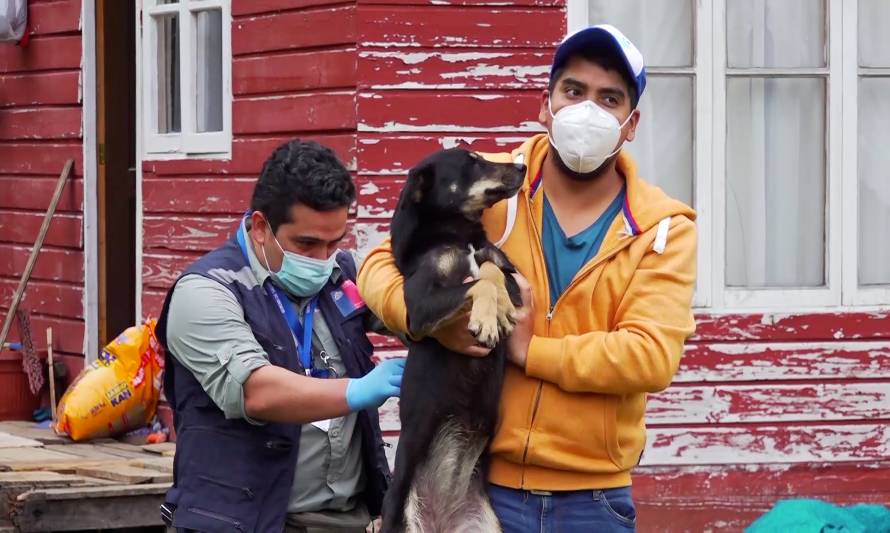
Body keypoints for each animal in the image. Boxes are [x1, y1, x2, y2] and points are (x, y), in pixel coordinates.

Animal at [382, 148, 528, 528]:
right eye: (472, 161)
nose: (522, 166)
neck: (456, 236)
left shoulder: (513, 278)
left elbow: (490, 270)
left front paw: (498, 310)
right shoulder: (420, 305)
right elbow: (477, 282)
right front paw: (486, 318)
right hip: (400, 515)